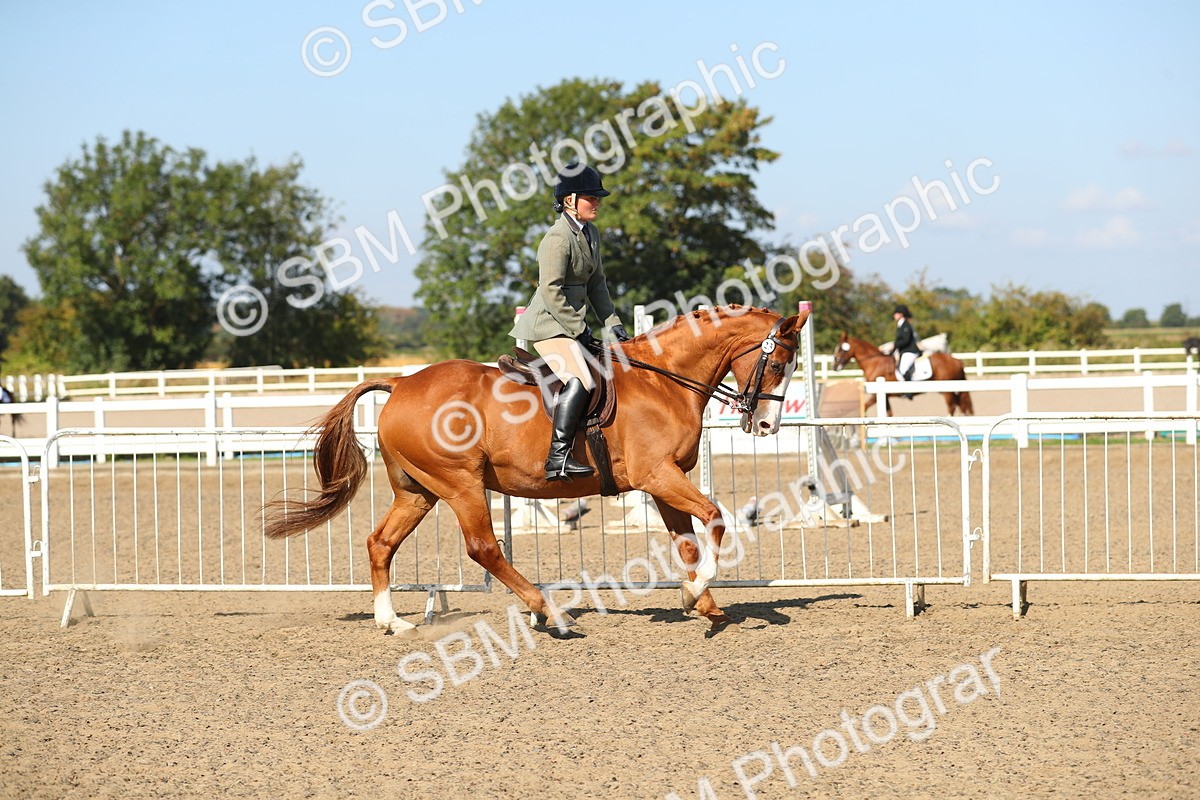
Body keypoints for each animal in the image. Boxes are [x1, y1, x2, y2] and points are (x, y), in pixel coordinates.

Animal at [263, 305, 809, 636]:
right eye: (777, 364)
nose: (766, 425)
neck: (666, 382)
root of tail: (400, 384)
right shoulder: (659, 476)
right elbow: (715, 517)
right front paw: (697, 592)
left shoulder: (662, 482)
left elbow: (689, 541)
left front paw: (701, 601)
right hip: (461, 484)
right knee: (483, 547)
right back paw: (545, 610)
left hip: (418, 490)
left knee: (381, 543)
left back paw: (392, 621)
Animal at [831, 333, 973, 416]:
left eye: (841, 348)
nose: (834, 366)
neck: (875, 363)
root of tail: (956, 360)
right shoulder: (884, 396)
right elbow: (889, 414)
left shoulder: (875, 396)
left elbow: (865, 407)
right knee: (960, 405)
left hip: (947, 391)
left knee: (952, 407)